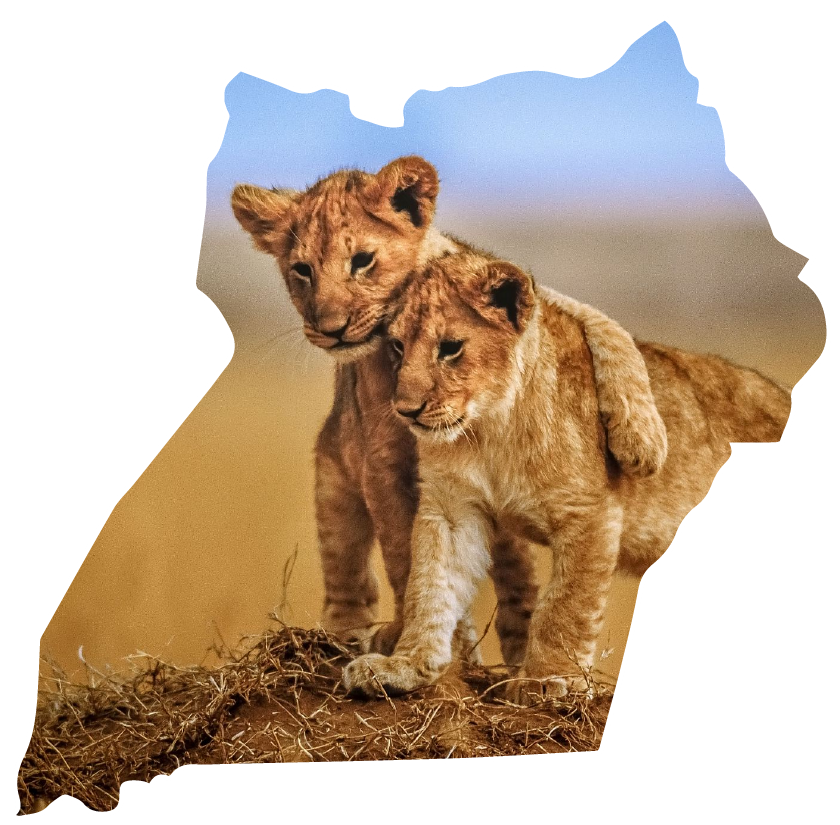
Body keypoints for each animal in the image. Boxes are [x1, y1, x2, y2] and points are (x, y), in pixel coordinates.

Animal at [230, 156, 667, 663]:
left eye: (362, 261)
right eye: (301, 270)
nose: (330, 329)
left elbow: (606, 328)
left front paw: (642, 440)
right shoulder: (381, 462)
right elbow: (405, 555)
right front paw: (424, 642)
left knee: (516, 574)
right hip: (333, 480)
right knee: (349, 574)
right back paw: (350, 636)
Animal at [342, 251, 791, 704]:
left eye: (450, 348)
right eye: (398, 346)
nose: (406, 410)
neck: (491, 429)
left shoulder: (591, 512)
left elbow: (565, 604)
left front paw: (546, 679)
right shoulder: (451, 508)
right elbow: (430, 585)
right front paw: (405, 666)